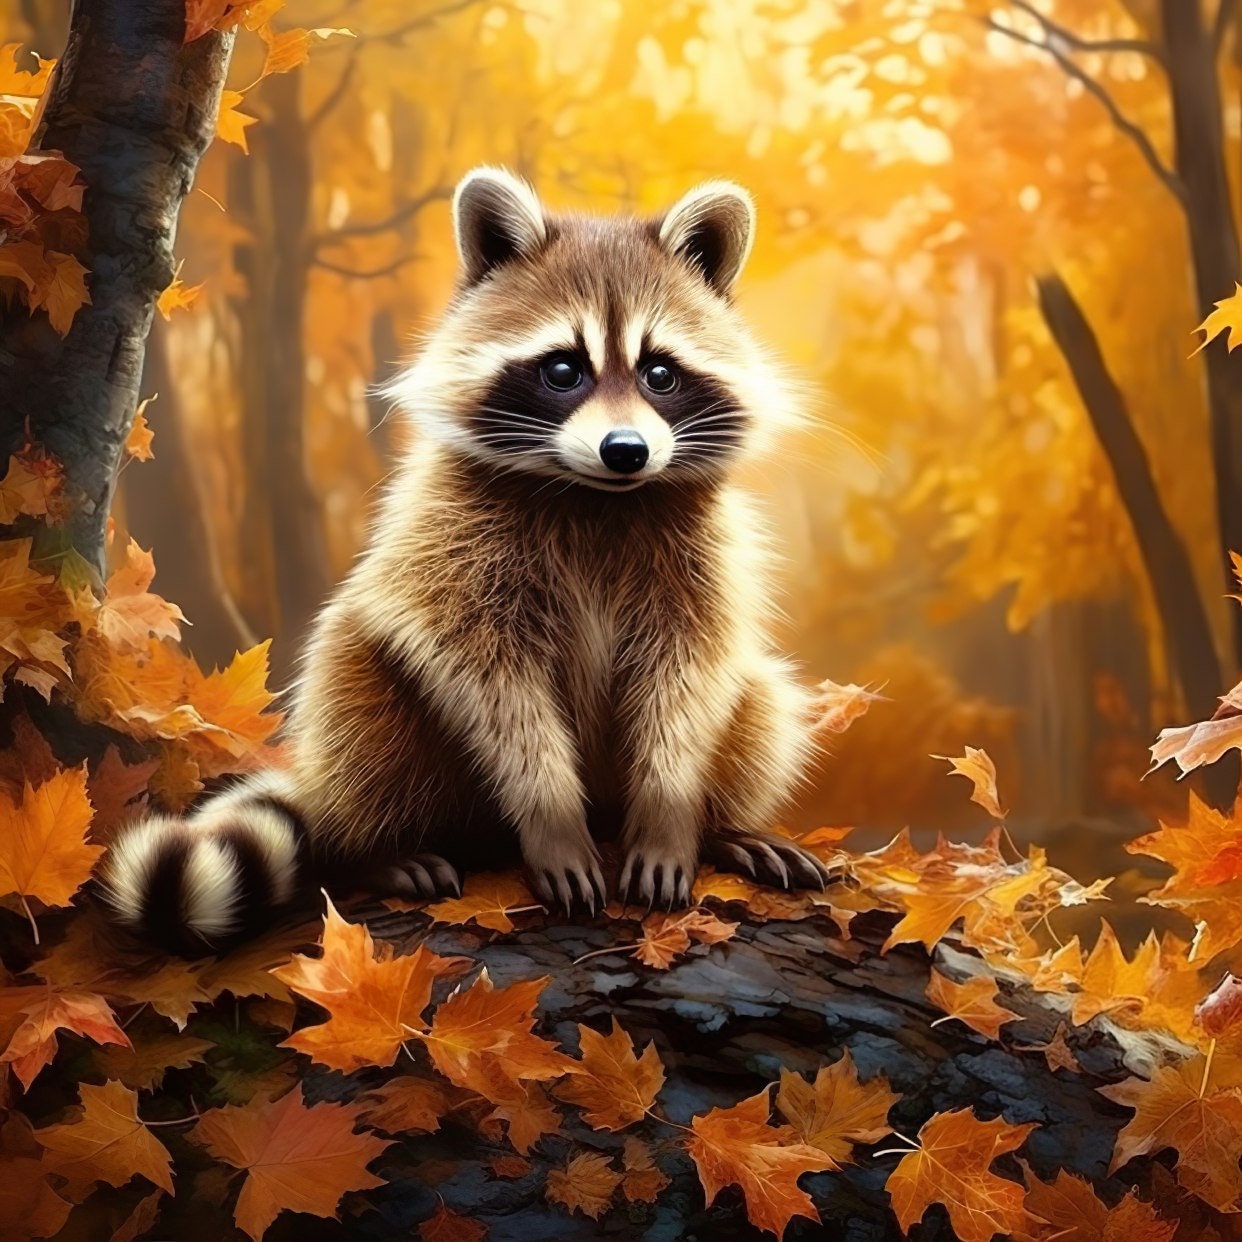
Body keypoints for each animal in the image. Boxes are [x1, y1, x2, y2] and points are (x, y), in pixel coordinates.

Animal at [99, 166, 831, 954]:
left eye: (660, 374)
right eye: (564, 369)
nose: (627, 451)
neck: (596, 498)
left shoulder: (704, 557)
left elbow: (690, 677)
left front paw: (671, 815)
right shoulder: (450, 545)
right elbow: (488, 681)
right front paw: (551, 817)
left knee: (758, 698)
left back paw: (727, 827)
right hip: (368, 714)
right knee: (359, 687)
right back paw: (377, 848)